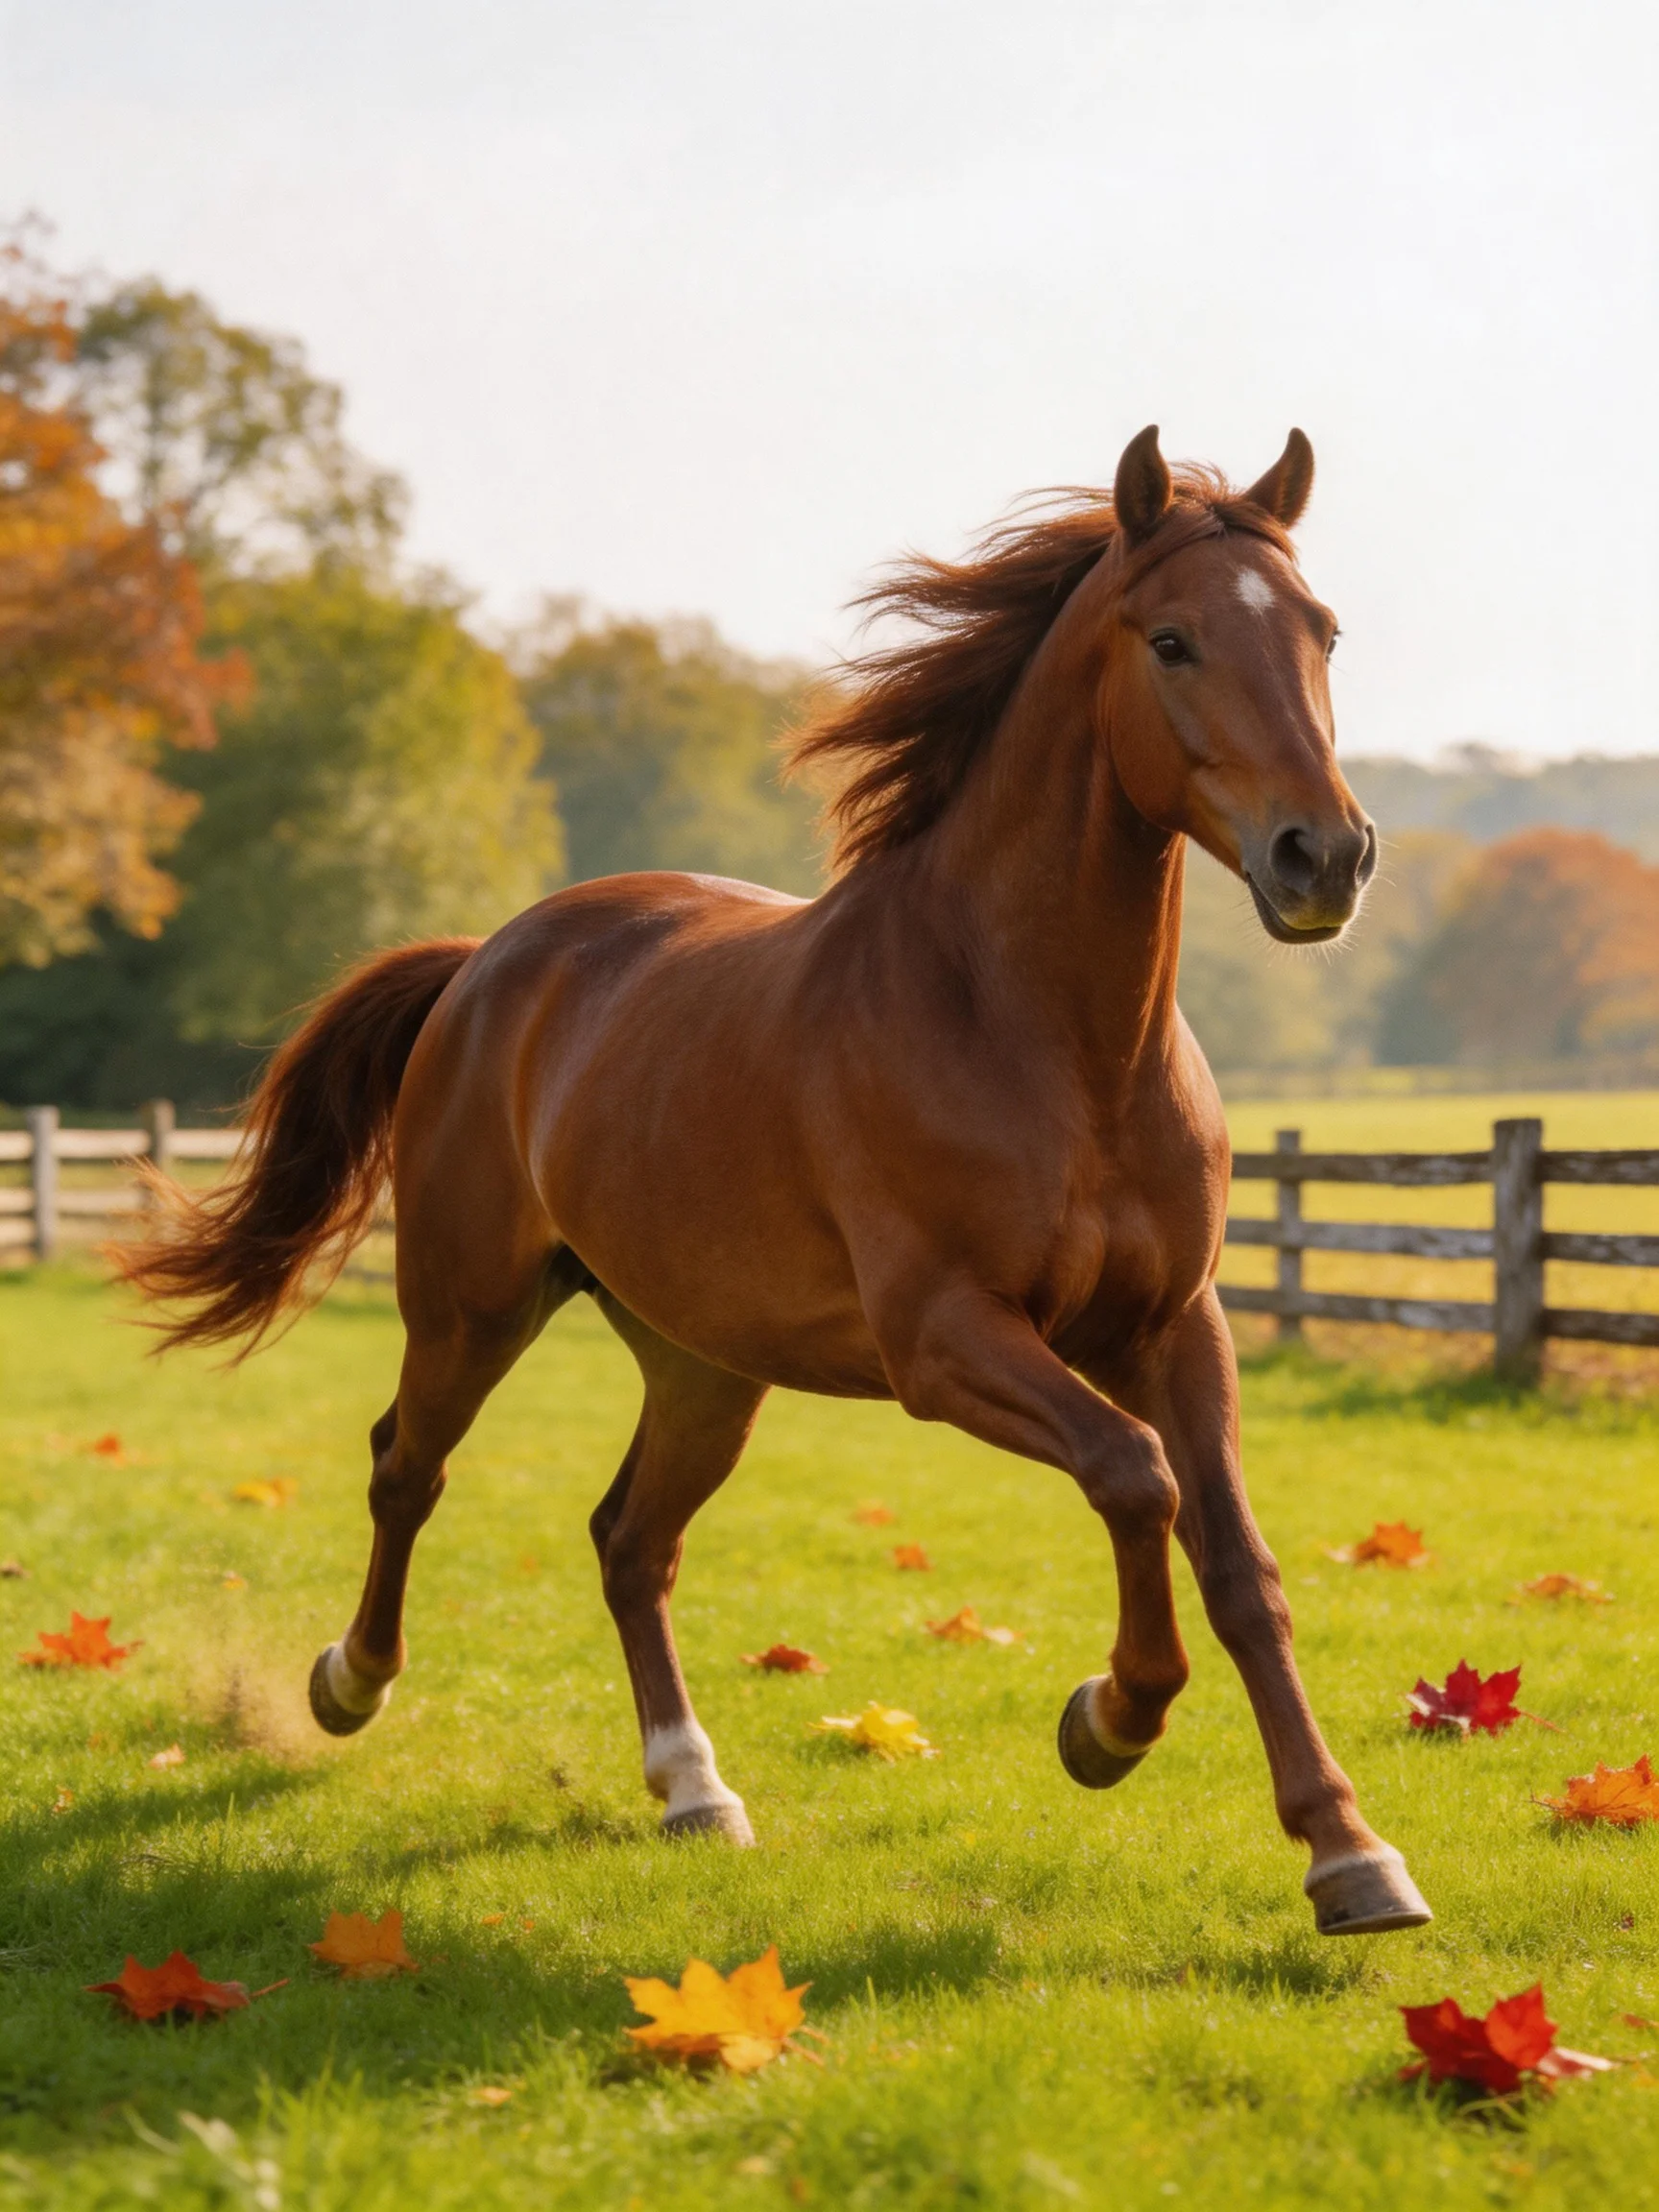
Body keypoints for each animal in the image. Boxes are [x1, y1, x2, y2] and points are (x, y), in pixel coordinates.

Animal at [123, 425, 1431, 1939]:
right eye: (1171, 640)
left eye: (1323, 631)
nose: (1324, 856)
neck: (1048, 1043)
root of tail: (484, 962)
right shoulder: (945, 1341)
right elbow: (1134, 1475)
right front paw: (1106, 1721)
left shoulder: (1176, 1326)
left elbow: (1240, 1567)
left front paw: (1351, 1856)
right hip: (471, 1306)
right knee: (409, 1467)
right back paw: (350, 1684)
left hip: (704, 1366)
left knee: (629, 1539)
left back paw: (695, 1790)